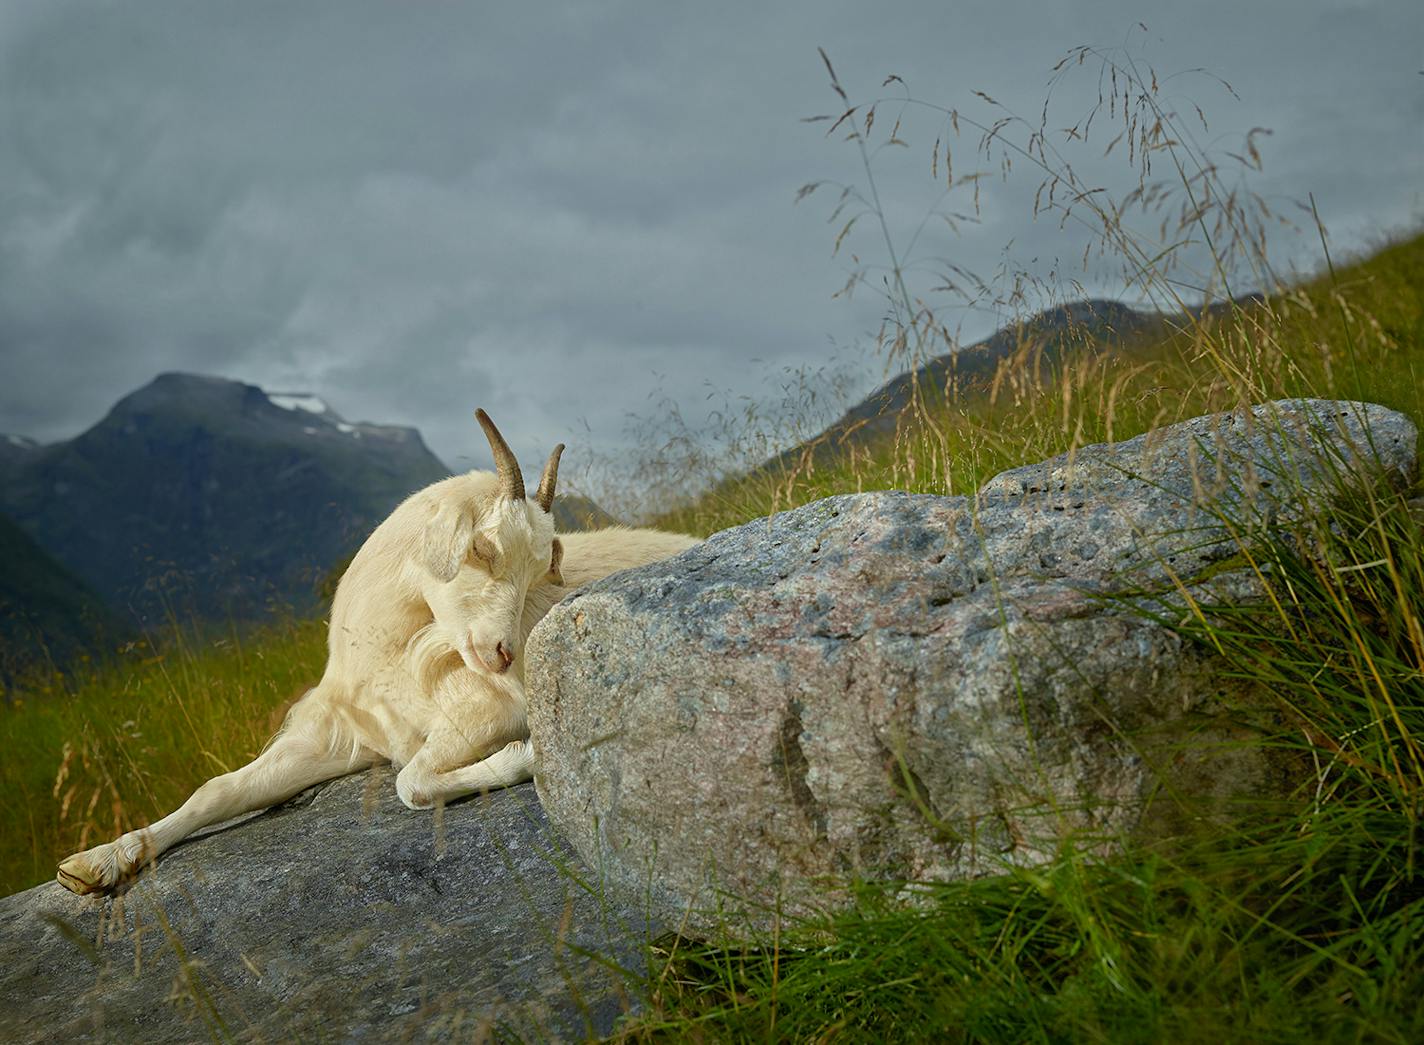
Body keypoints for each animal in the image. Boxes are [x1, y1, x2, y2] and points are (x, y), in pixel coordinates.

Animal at [56, 412, 700, 894]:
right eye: (483, 548)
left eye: (541, 570)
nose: (503, 654)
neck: (390, 661)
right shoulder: (343, 735)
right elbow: (219, 790)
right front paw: (97, 863)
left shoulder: (482, 711)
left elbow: (410, 783)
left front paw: (525, 756)